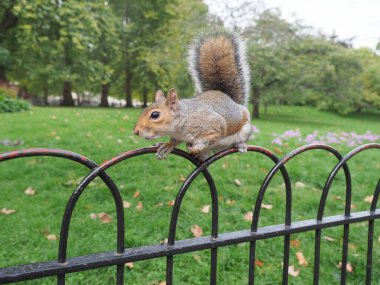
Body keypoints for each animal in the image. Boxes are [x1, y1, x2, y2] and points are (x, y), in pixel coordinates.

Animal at [134, 30, 252, 162]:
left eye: (155, 115)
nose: (136, 131)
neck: (183, 121)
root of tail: (229, 98)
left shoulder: (214, 126)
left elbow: (210, 139)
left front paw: (193, 148)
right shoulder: (177, 136)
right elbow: (174, 141)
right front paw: (167, 146)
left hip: (245, 130)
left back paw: (241, 144)